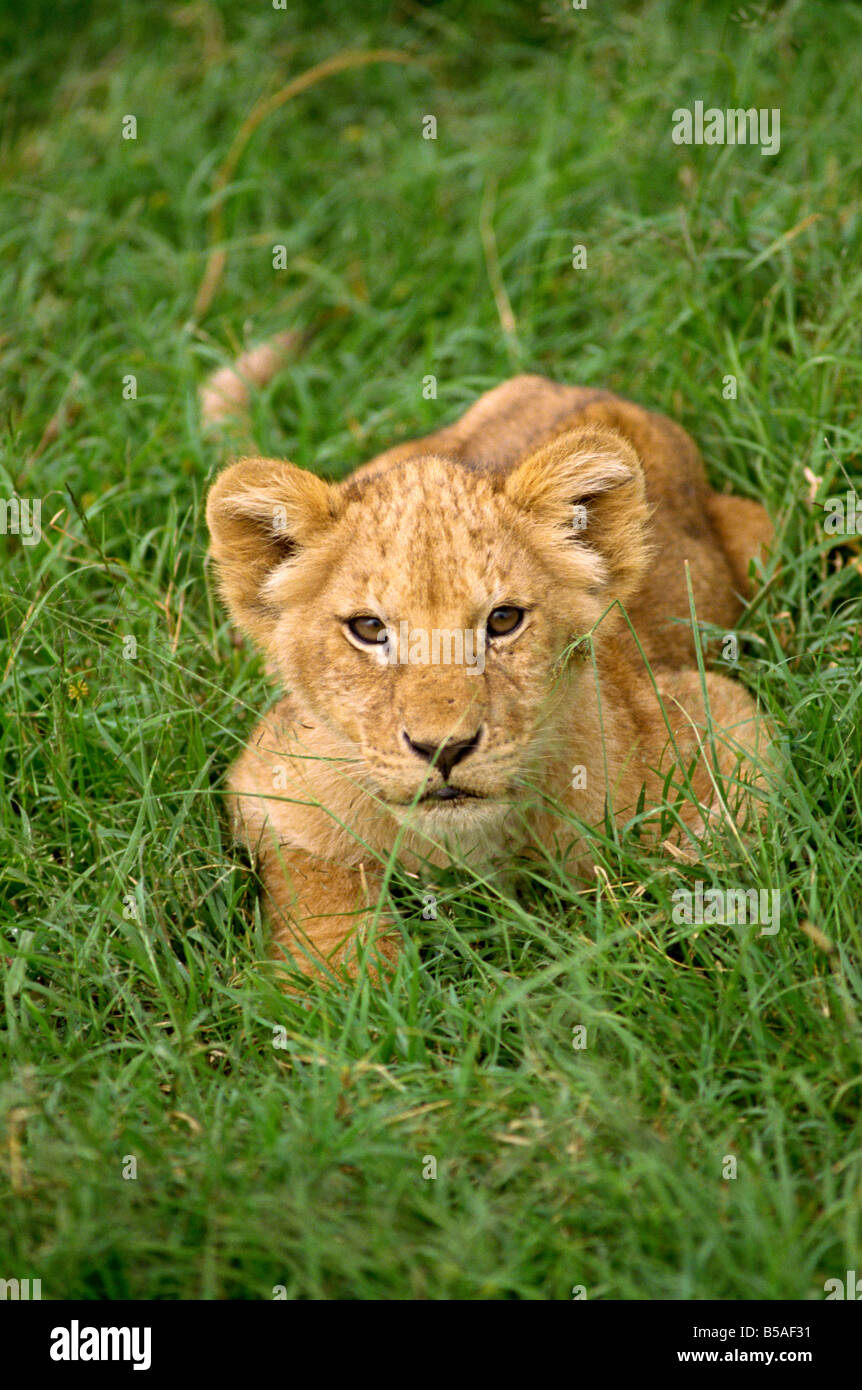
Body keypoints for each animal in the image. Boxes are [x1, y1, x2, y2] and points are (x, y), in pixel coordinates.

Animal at [204, 347, 775, 985]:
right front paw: (346, 990)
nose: (444, 749)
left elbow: (702, 868)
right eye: (369, 629)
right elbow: (324, 900)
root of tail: (565, 386)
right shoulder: (270, 784)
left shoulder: (723, 723)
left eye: (503, 620)